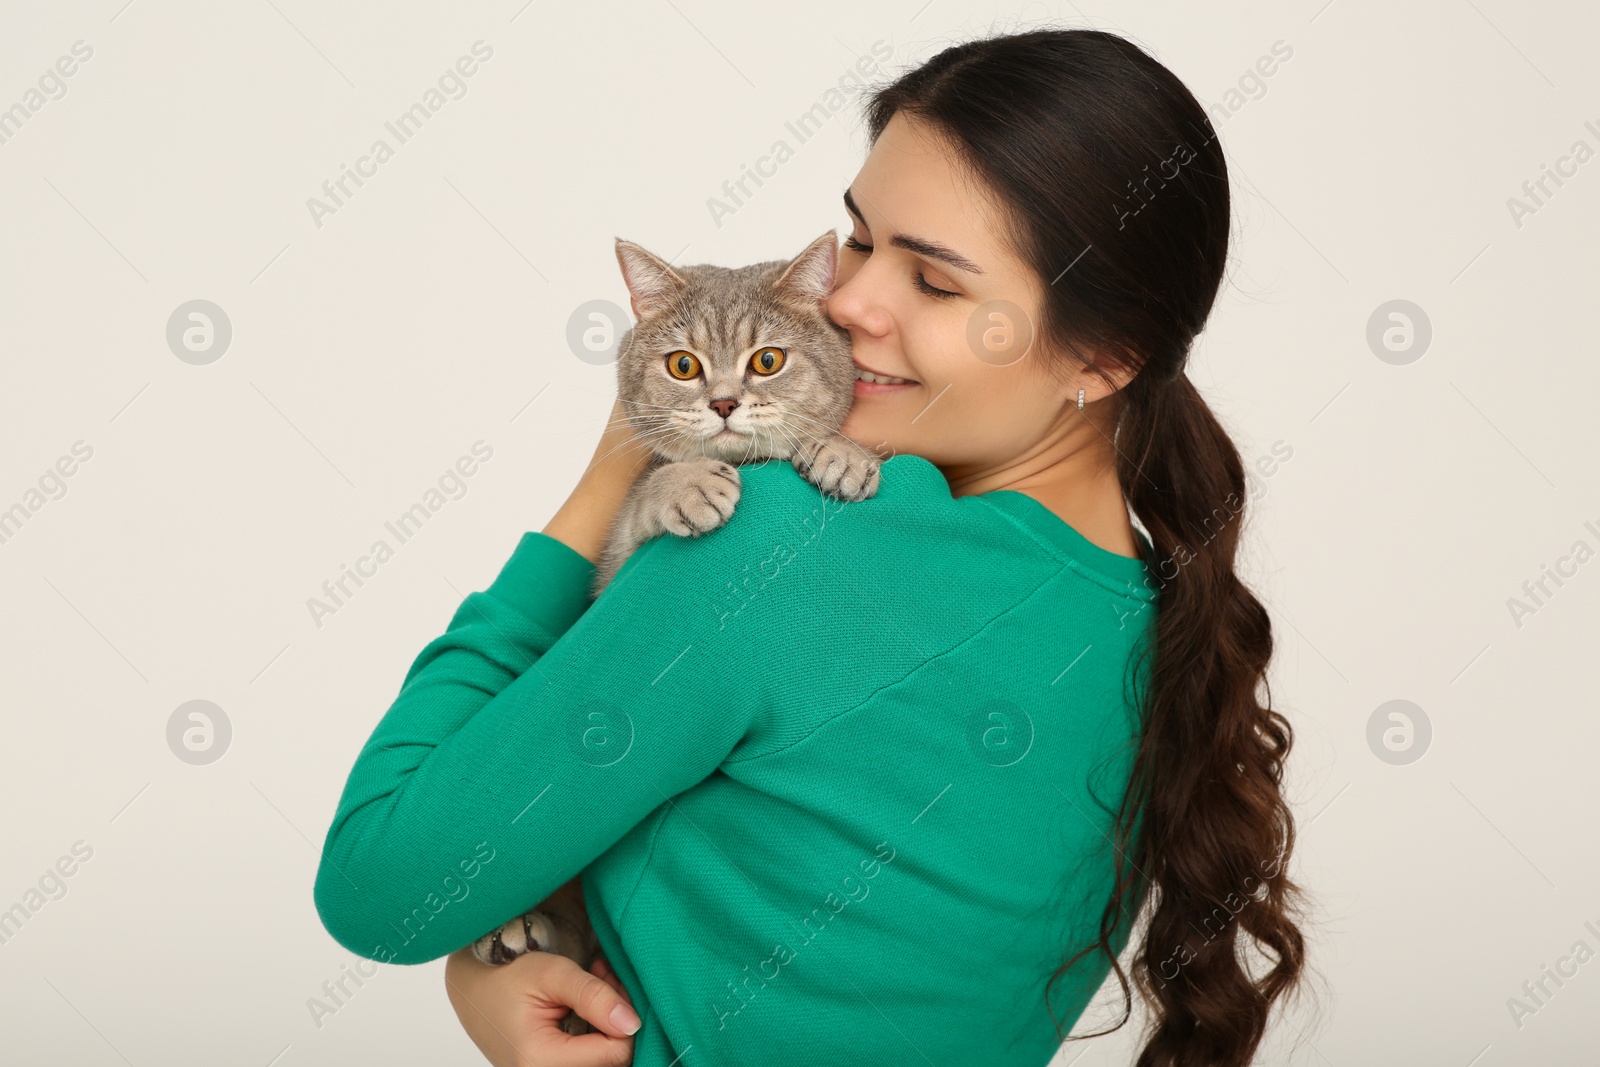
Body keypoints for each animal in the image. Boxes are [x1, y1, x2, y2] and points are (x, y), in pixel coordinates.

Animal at [464, 231, 889, 1036]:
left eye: (767, 360)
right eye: (684, 366)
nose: (722, 403)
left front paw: (847, 453)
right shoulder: (616, 562)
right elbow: (649, 494)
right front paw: (689, 484)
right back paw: (511, 926)